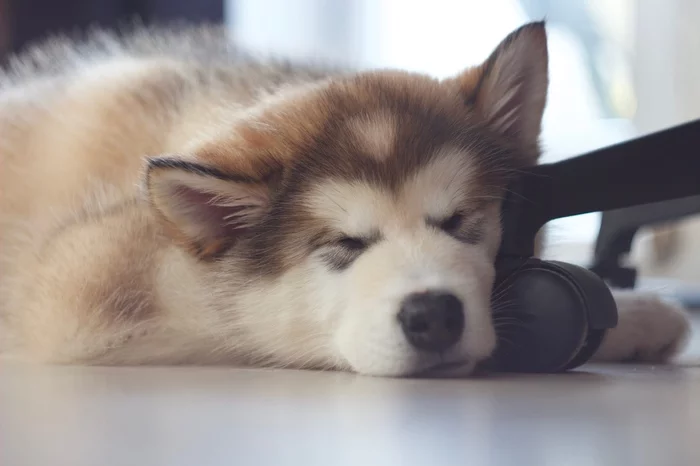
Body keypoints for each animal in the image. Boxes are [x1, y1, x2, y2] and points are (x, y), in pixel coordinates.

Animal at [0, 23, 688, 376]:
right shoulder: (73, 287)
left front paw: (637, 315)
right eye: (345, 245)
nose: (433, 316)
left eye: (459, 221)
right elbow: (237, 325)